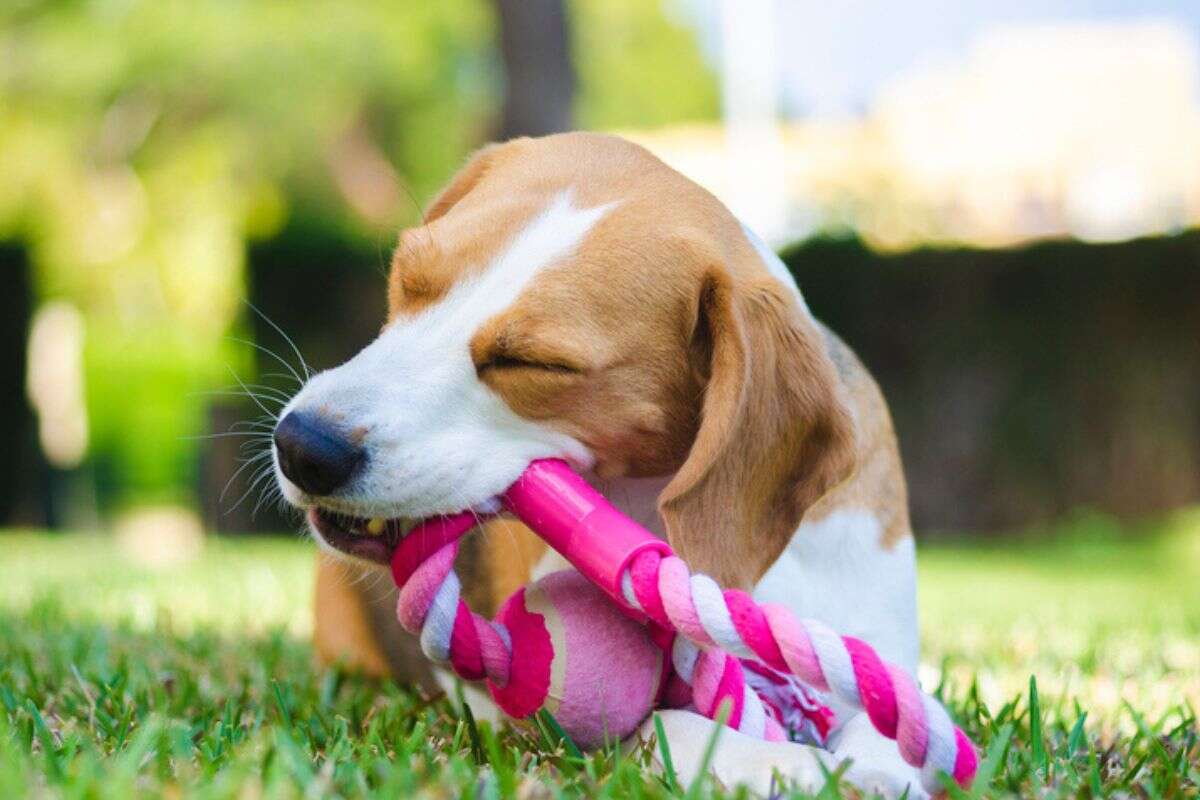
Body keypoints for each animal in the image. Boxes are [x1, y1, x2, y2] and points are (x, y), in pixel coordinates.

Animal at [274, 134, 916, 796]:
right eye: (407, 277)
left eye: (535, 363)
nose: (303, 445)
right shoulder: (544, 728)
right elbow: (670, 726)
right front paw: (789, 766)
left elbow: (889, 736)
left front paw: (868, 768)